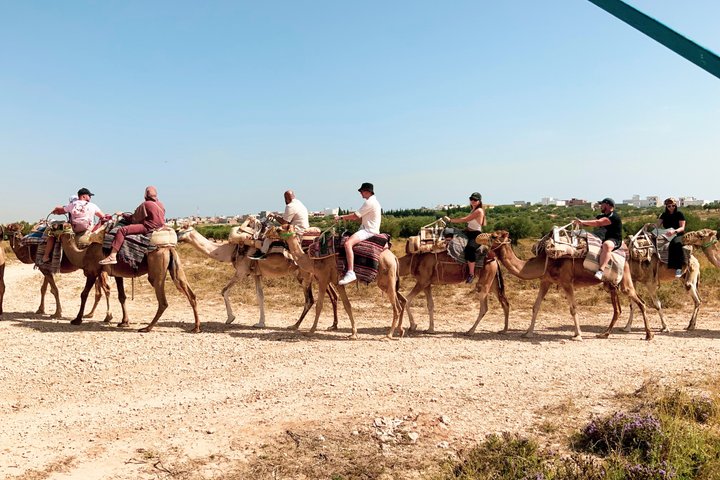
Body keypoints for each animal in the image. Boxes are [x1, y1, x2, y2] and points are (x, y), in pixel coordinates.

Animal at [57, 229, 200, 332]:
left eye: (57, 229)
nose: (55, 236)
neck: (82, 254)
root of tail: (168, 248)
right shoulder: (117, 274)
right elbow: (122, 296)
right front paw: (124, 322)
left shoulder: (93, 272)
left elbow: (84, 294)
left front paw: (77, 320)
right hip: (176, 265)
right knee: (191, 294)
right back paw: (196, 327)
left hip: (157, 265)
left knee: (163, 301)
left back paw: (147, 328)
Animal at [176, 226, 338, 329]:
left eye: (179, 230)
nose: (175, 237)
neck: (230, 250)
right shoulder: (256, 274)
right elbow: (260, 296)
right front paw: (260, 323)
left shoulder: (241, 272)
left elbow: (224, 291)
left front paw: (230, 318)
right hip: (317, 274)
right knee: (333, 295)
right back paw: (333, 325)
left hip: (305, 274)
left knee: (310, 299)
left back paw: (295, 325)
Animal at [488, 230, 653, 340]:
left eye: (494, 236)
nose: (484, 244)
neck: (545, 260)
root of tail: (626, 256)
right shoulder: (546, 281)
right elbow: (536, 306)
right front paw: (528, 333)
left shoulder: (567, 282)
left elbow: (573, 308)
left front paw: (578, 335)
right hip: (611, 284)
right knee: (619, 309)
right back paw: (604, 333)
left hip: (624, 280)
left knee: (641, 303)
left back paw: (648, 335)